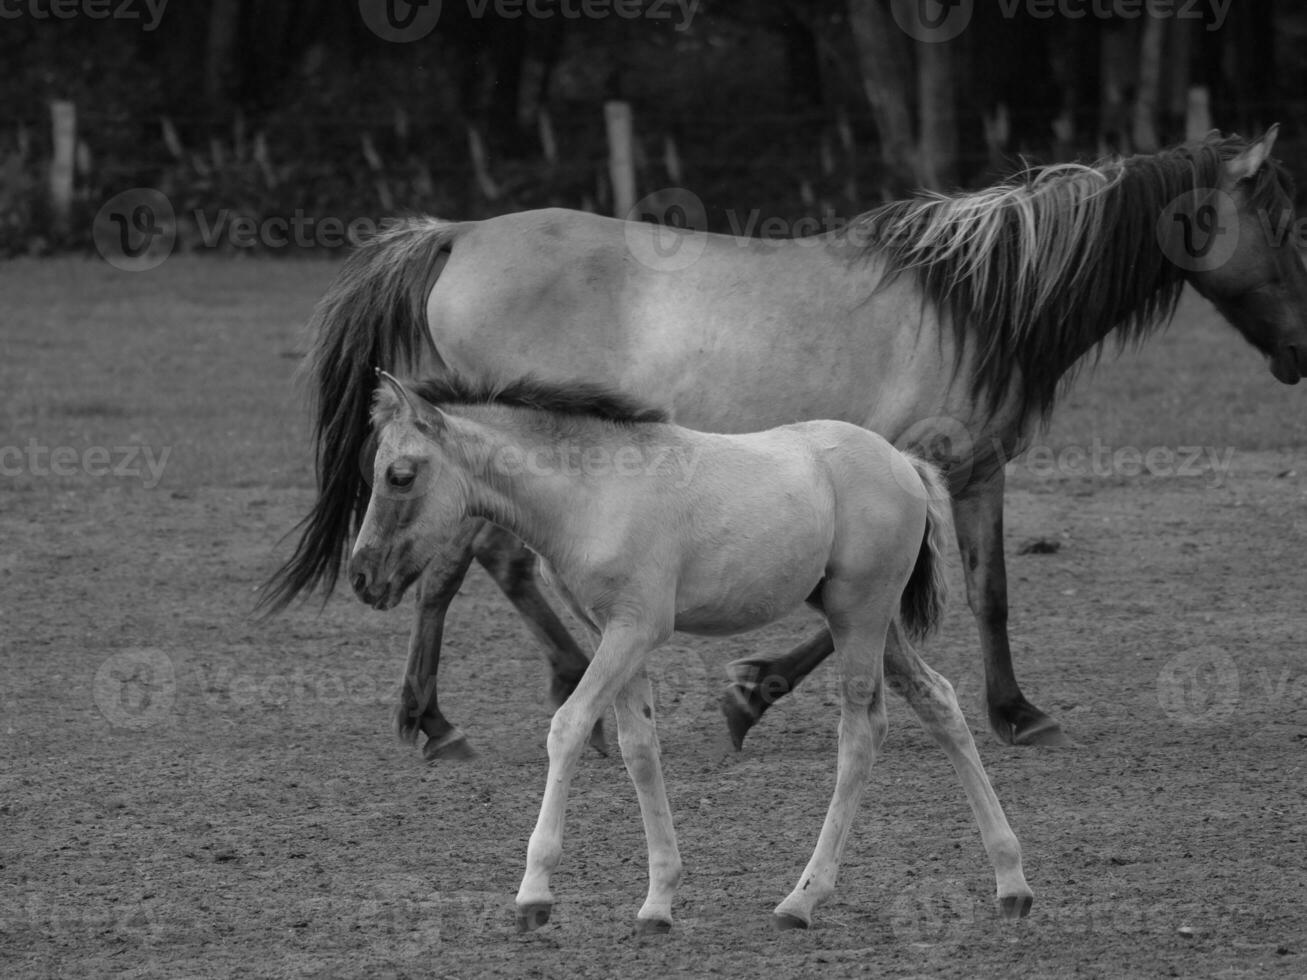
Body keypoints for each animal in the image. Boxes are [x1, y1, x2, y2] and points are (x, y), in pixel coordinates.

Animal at [262, 128, 1307, 757]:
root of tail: (460, 232)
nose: (1300, 350)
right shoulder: (915, 472)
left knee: (499, 566)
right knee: (458, 566)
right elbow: (876, 604)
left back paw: (559, 692)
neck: (970, 298)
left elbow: (989, 594)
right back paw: (435, 719)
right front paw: (751, 690)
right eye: (1285, 224)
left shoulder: (976, 470)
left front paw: (1016, 711)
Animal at [350, 373, 1029, 935]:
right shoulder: (611, 633)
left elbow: (569, 726)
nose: (361, 577)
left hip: (859, 618)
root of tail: (906, 463)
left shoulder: (636, 630)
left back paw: (802, 900)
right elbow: (639, 749)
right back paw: (1011, 883)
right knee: (940, 701)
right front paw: (658, 903)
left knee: (861, 736)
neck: (592, 492)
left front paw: (535, 894)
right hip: (869, 621)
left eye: (400, 474)